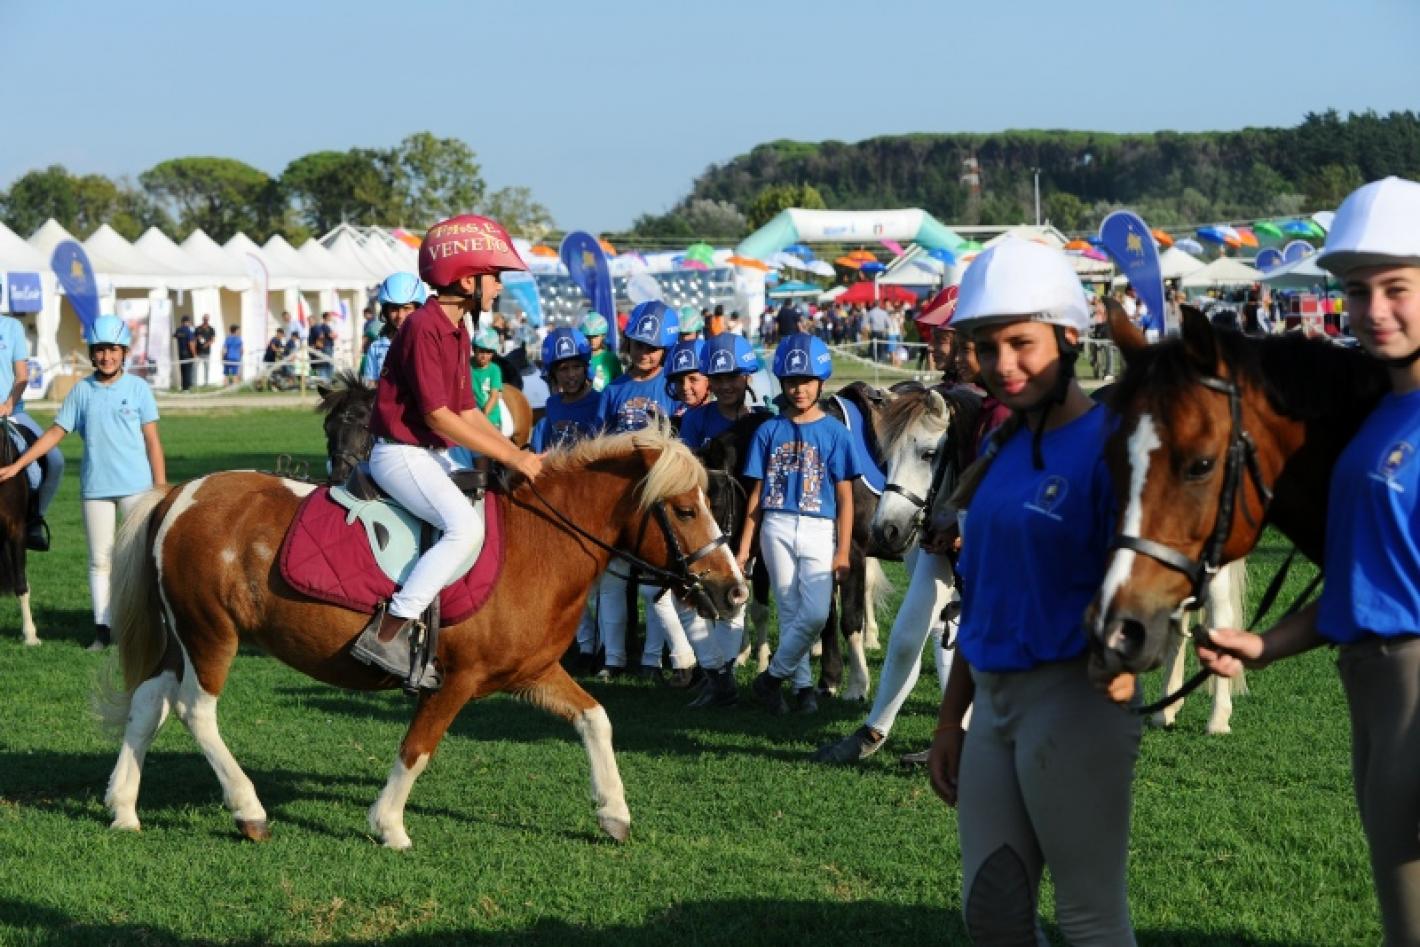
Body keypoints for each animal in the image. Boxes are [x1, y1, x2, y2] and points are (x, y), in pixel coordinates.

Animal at [95, 425, 749, 846]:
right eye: (685, 511)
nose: (735, 591)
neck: (540, 543)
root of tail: (181, 495)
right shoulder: (454, 681)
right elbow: (417, 749)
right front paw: (388, 825)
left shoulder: (533, 672)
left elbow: (596, 719)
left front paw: (613, 813)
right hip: (211, 635)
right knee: (195, 711)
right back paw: (248, 809)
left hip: (181, 638)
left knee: (149, 704)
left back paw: (124, 808)